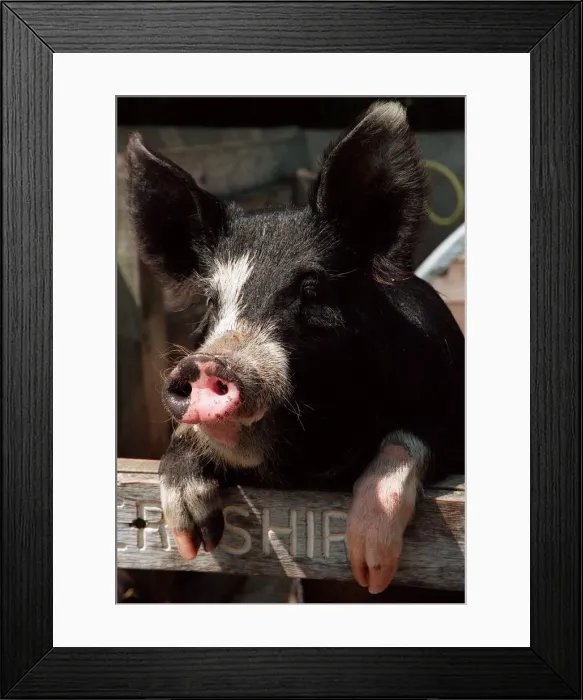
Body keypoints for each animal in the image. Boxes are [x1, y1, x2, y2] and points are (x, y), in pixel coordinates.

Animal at [125, 100, 465, 595]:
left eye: (312, 288)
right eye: (210, 299)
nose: (206, 364)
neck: (312, 462)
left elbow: (405, 440)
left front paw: (370, 568)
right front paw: (193, 542)